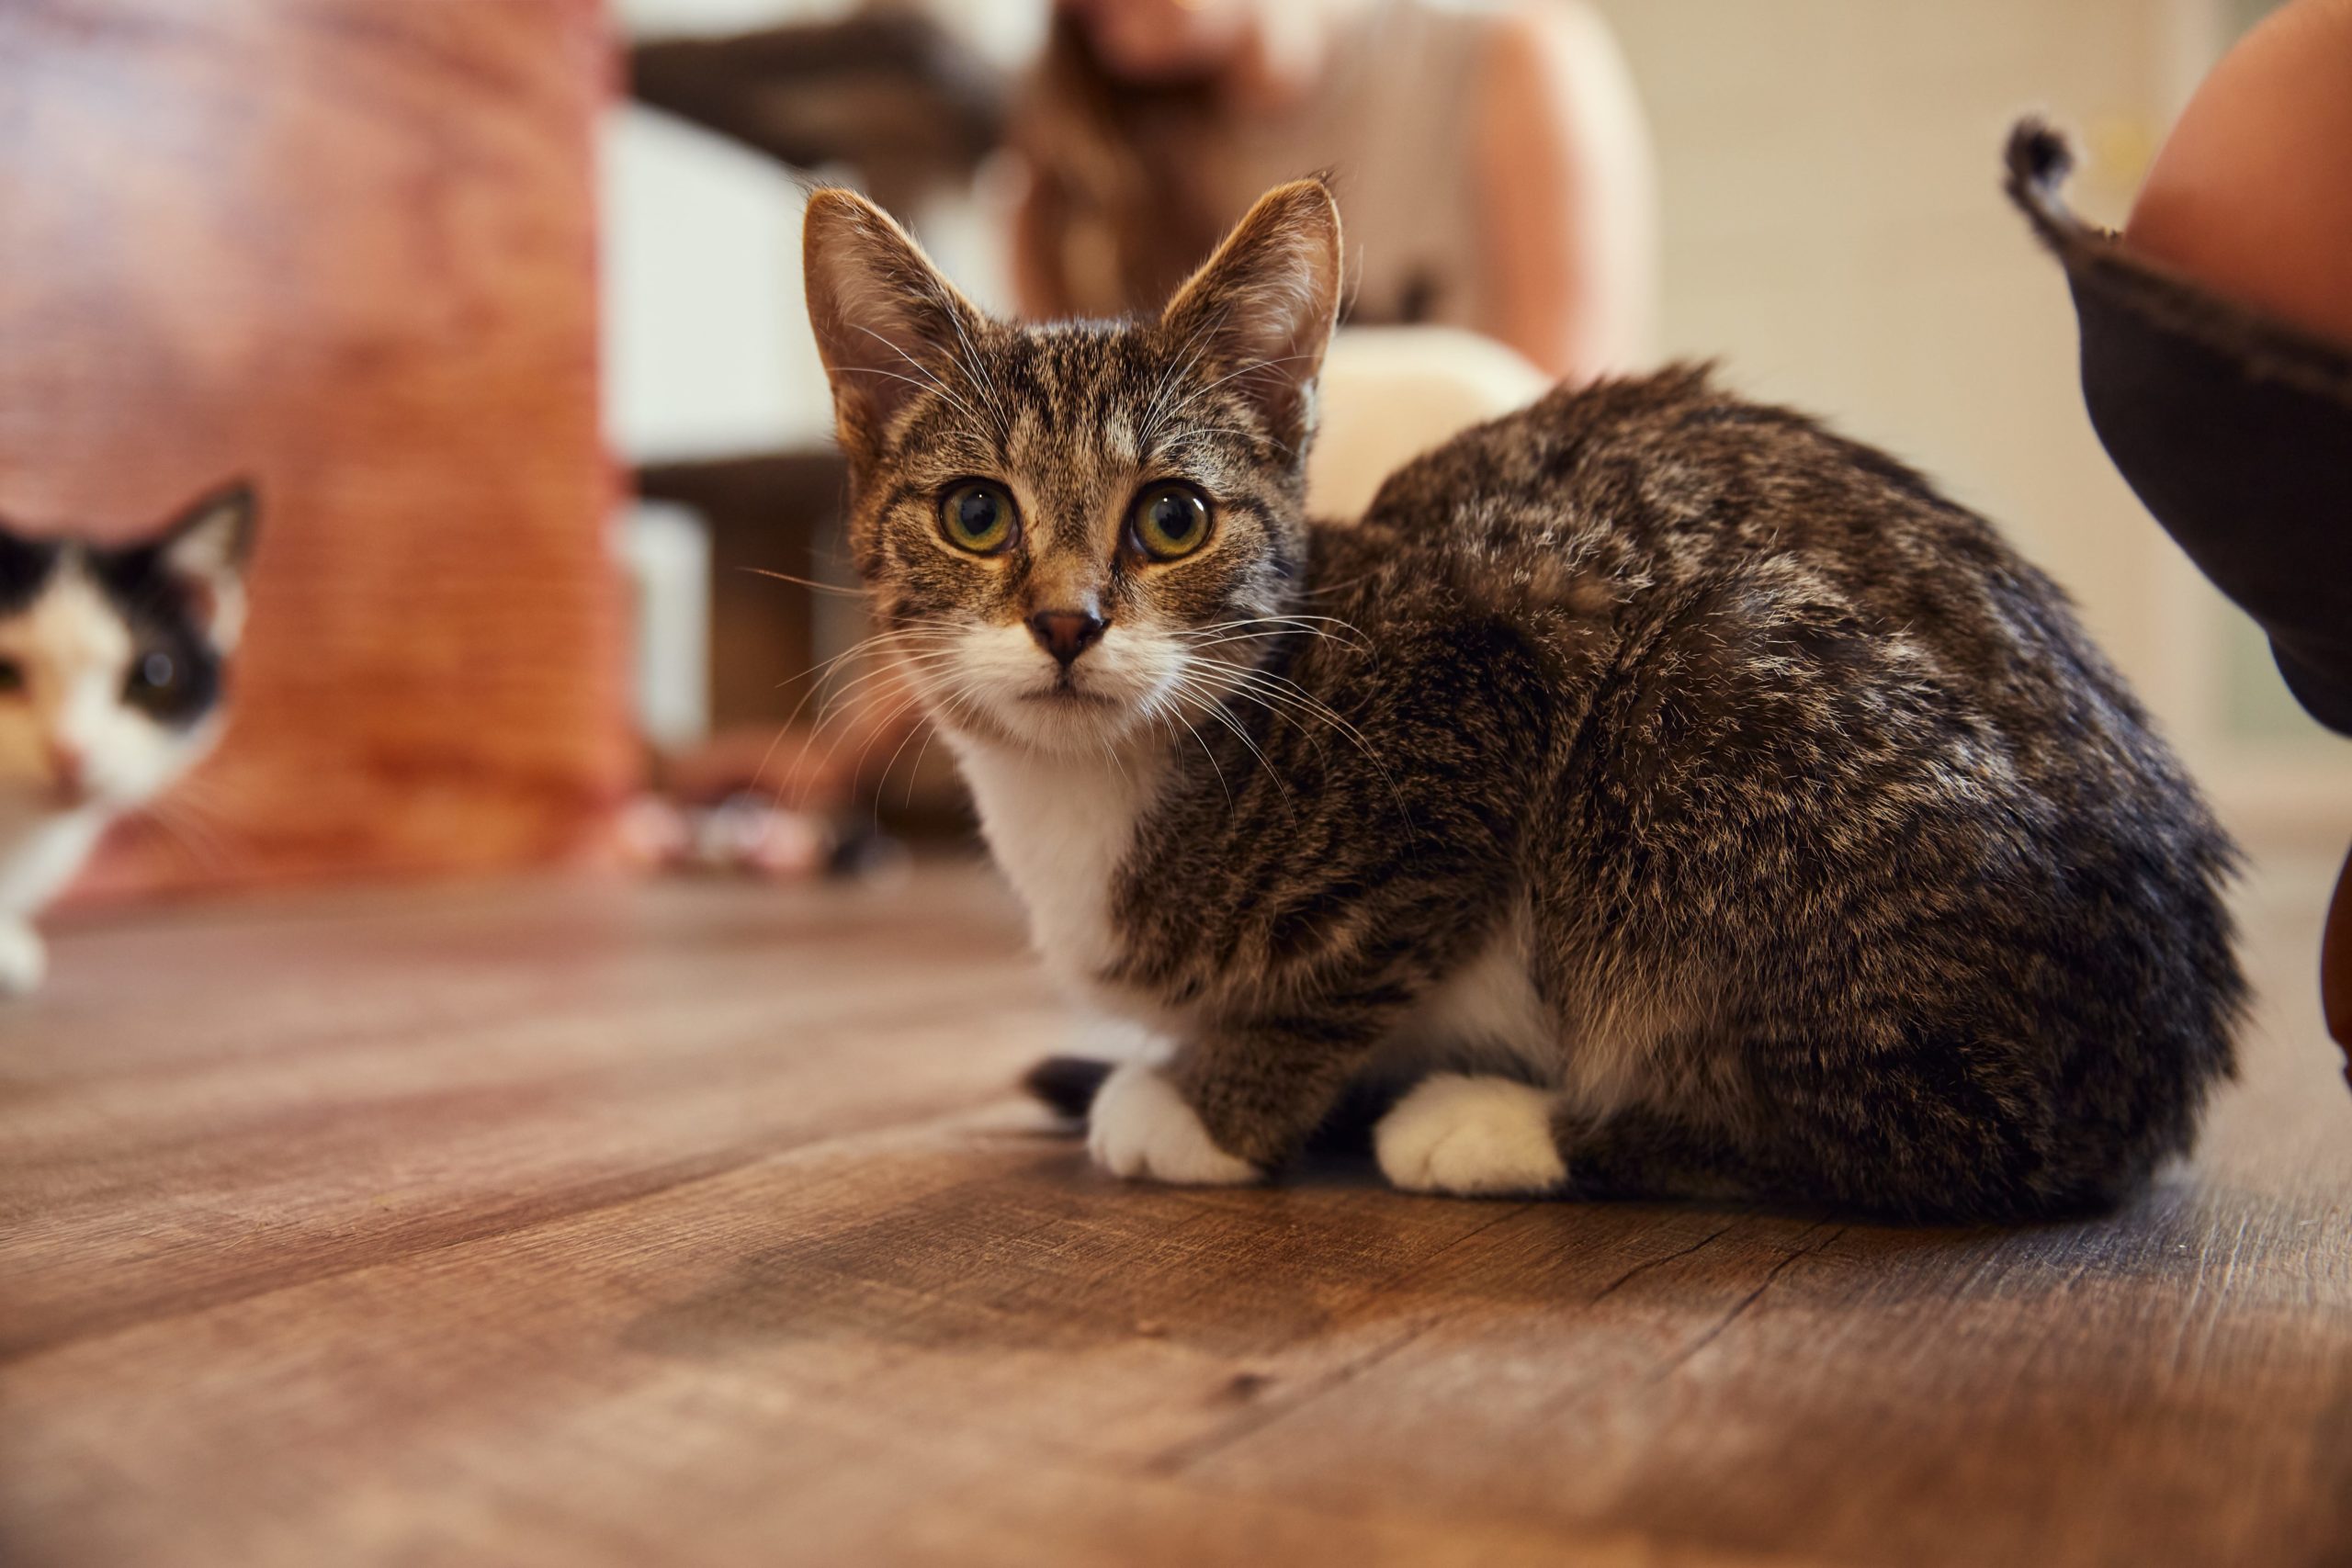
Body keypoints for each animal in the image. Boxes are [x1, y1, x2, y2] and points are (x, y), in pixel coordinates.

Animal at [804, 177, 2239, 1222]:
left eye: (1172, 518)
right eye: (976, 514)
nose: (1065, 622)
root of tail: (2171, 1046)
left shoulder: (1485, 682)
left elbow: (1347, 963)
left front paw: (1215, 1107)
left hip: (1689, 703)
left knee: (1943, 1137)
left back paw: (1500, 1124)